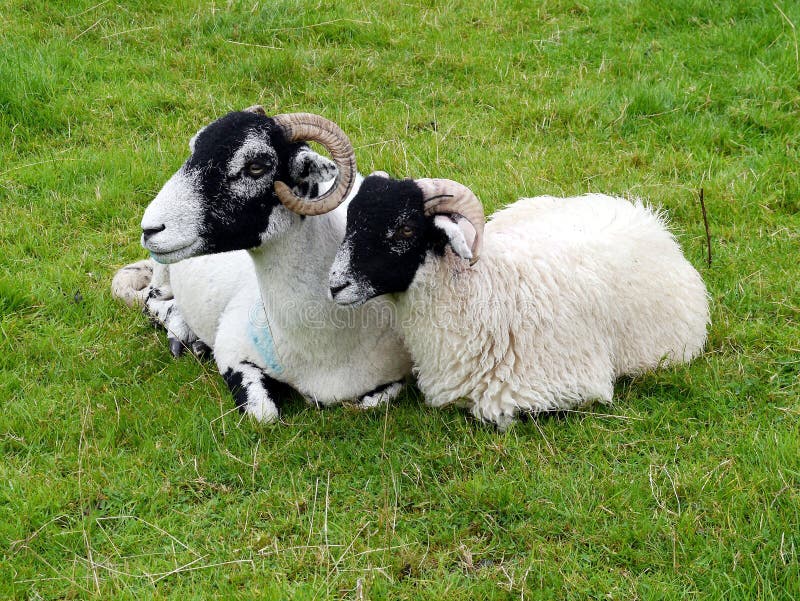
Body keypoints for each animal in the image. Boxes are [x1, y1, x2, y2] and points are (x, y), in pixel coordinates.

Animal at [113, 108, 411, 422]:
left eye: (256, 167)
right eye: (194, 148)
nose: (150, 228)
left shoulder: (396, 377)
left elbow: (373, 402)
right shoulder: (232, 350)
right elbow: (264, 415)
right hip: (163, 271)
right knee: (152, 301)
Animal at [326, 174, 710, 429]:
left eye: (405, 229)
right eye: (351, 222)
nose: (334, 286)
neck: (484, 291)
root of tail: (643, 214)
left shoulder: (569, 386)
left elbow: (493, 413)